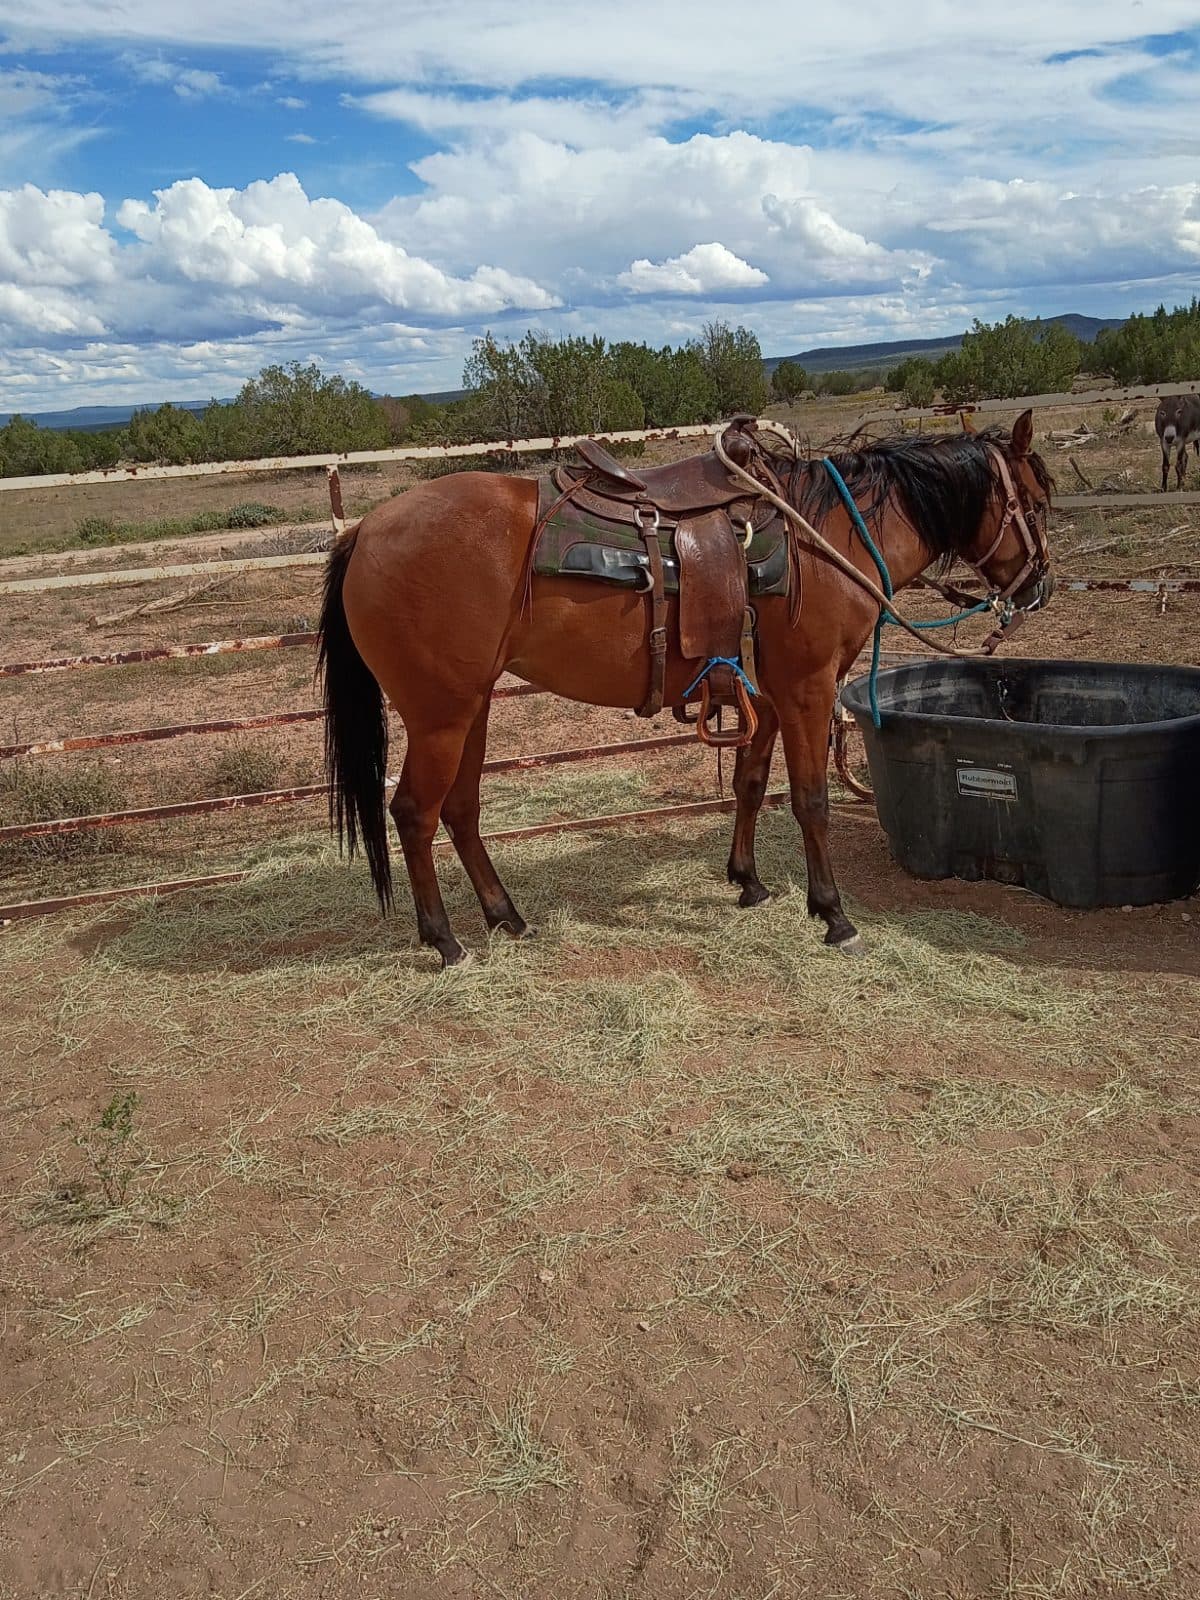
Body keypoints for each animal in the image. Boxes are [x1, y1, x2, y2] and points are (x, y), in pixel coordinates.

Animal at [317, 410, 1053, 966]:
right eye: (1039, 505)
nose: (1038, 590)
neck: (830, 537)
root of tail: (367, 531)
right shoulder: (808, 689)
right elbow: (810, 800)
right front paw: (834, 915)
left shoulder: (769, 695)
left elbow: (750, 785)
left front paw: (749, 882)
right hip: (440, 715)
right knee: (415, 813)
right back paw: (445, 941)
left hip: (471, 709)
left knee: (461, 811)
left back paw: (506, 917)